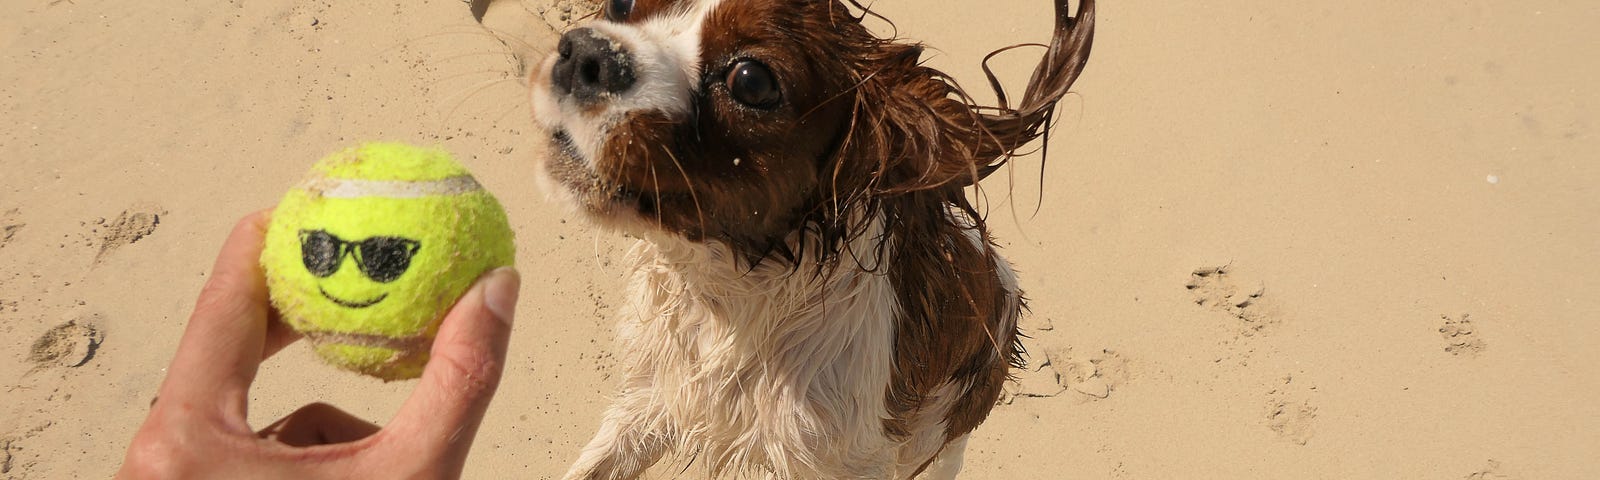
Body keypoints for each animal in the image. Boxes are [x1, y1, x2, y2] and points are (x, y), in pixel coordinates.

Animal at [531, 0, 1094, 476]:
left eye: (752, 81)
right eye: (621, 5)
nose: (585, 52)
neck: (726, 298)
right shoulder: (649, 401)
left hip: (944, 435)